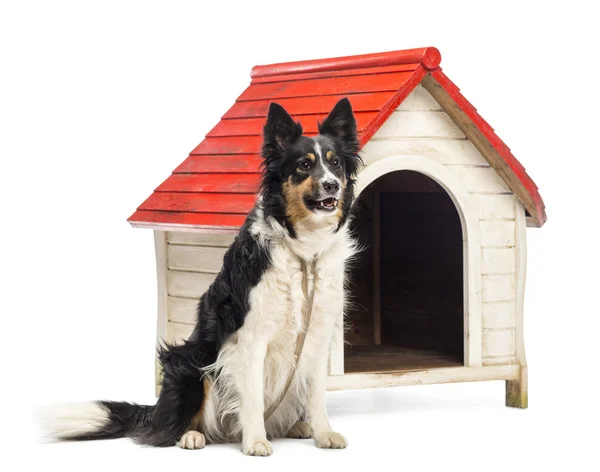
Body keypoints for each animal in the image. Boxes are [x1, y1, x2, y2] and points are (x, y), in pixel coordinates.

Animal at [43, 97, 360, 456]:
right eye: (304, 166)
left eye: (335, 164)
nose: (332, 185)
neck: (303, 249)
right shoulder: (250, 337)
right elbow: (252, 397)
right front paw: (255, 441)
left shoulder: (317, 334)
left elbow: (317, 395)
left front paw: (324, 434)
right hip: (190, 361)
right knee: (176, 424)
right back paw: (191, 436)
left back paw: (296, 426)